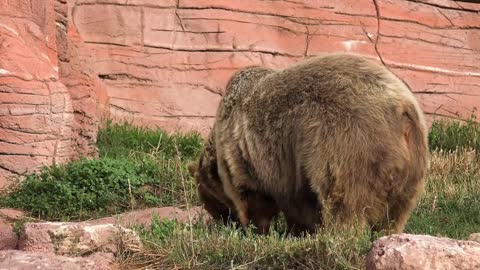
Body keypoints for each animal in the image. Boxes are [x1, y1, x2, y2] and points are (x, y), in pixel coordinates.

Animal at [188, 52, 428, 234]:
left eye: (210, 203)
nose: (223, 223)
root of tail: (402, 107)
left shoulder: (247, 154)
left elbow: (253, 197)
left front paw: (258, 229)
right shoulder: (293, 168)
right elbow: (300, 204)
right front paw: (298, 230)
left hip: (348, 141)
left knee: (344, 202)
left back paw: (338, 236)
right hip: (412, 165)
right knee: (395, 213)